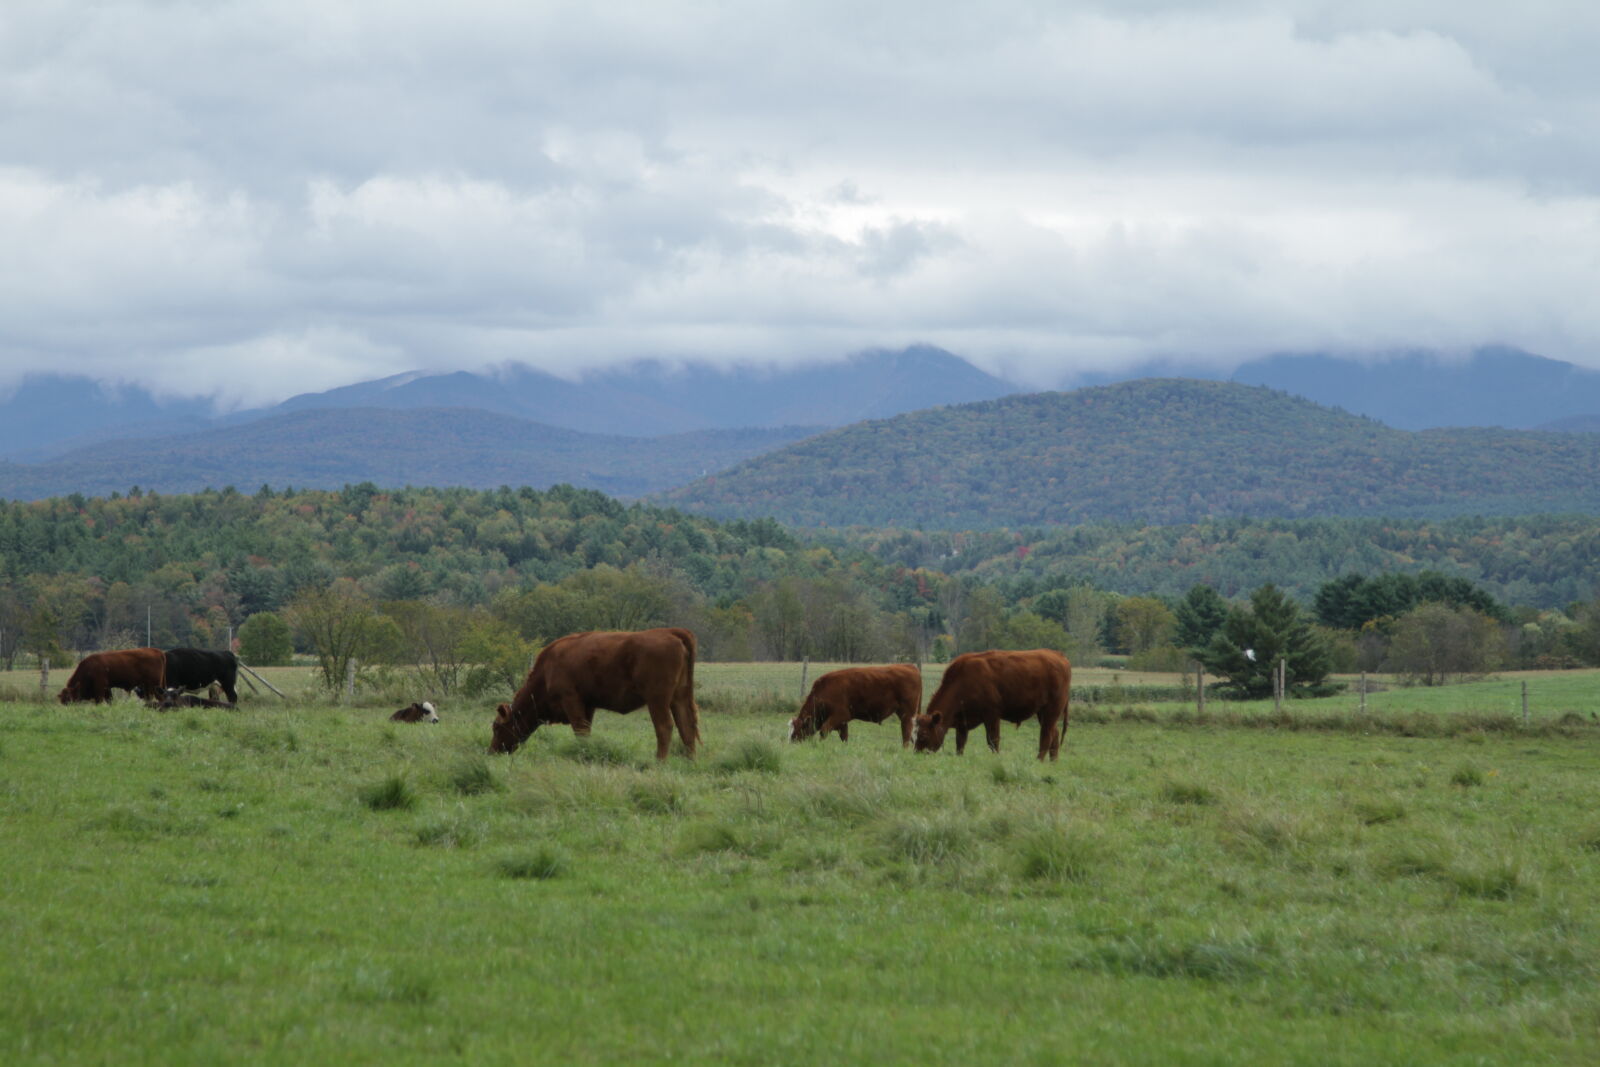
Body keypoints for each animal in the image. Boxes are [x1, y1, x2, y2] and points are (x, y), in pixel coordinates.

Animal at [490, 628, 700, 761]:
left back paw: (659, 762)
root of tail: (670, 632)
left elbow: (580, 730)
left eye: (496, 727)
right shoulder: (588, 705)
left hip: (657, 700)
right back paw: (690, 761)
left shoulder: (571, 700)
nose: (492, 751)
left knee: (664, 727)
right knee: (686, 727)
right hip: (679, 698)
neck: (547, 670)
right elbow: (586, 731)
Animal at [788, 664, 922, 747]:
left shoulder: (839, 716)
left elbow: (824, 731)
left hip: (907, 714)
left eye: (797, 730)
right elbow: (844, 737)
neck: (824, 690)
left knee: (906, 733)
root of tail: (910, 666)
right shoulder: (842, 722)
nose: (791, 744)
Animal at [912, 649, 1071, 761]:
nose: (917, 754)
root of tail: (1059, 656)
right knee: (1055, 734)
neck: (962, 680)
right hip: (1043, 713)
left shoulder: (992, 716)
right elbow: (960, 744)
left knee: (1046, 736)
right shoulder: (962, 722)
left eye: (924, 734)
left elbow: (993, 741)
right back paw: (1053, 762)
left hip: (1051, 710)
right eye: (914, 734)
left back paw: (1038, 761)